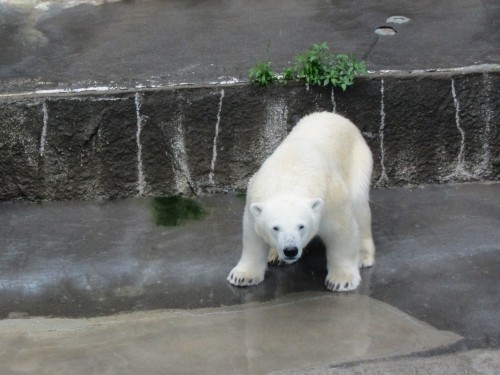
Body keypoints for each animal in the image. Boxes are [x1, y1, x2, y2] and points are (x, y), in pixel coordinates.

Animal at [227, 112, 376, 294]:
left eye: (301, 226)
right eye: (275, 228)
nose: (290, 250)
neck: (289, 178)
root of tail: (336, 116)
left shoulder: (332, 199)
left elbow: (342, 231)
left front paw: (342, 281)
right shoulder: (254, 197)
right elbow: (252, 237)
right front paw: (242, 276)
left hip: (358, 163)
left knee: (360, 209)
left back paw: (363, 256)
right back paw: (274, 255)